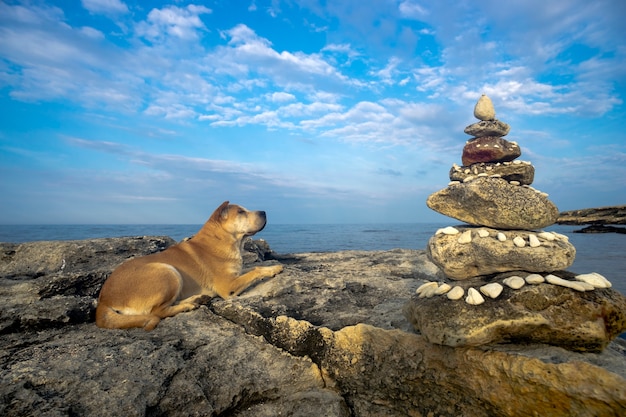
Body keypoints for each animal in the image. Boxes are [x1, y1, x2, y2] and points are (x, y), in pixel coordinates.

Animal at [94, 200, 280, 330]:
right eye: (241, 212)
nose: (264, 212)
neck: (223, 239)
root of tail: (103, 299)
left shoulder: (234, 275)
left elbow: (252, 268)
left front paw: (271, 268)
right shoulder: (228, 286)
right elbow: (254, 271)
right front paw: (273, 269)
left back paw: (196, 298)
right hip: (168, 271)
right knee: (157, 312)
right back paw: (188, 305)